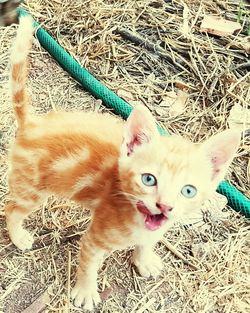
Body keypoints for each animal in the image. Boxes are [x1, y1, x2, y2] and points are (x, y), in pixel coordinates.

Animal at [5, 15, 240, 308]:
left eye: (188, 191)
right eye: (148, 179)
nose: (164, 206)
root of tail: (32, 123)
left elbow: (148, 241)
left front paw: (144, 259)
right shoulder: (95, 239)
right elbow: (89, 265)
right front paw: (86, 292)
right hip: (31, 191)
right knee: (11, 209)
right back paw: (18, 236)